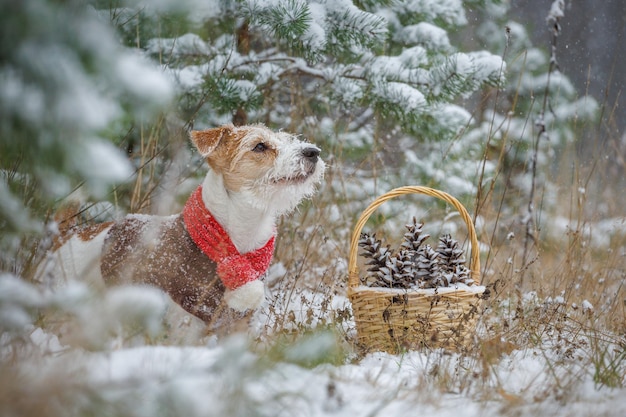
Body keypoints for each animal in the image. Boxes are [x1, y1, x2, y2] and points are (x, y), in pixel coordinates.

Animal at [36, 124, 324, 344]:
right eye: (260, 146)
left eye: (287, 139)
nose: (313, 152)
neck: (233, 243)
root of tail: (68, 234)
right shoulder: (186, 321)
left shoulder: (238, 323)